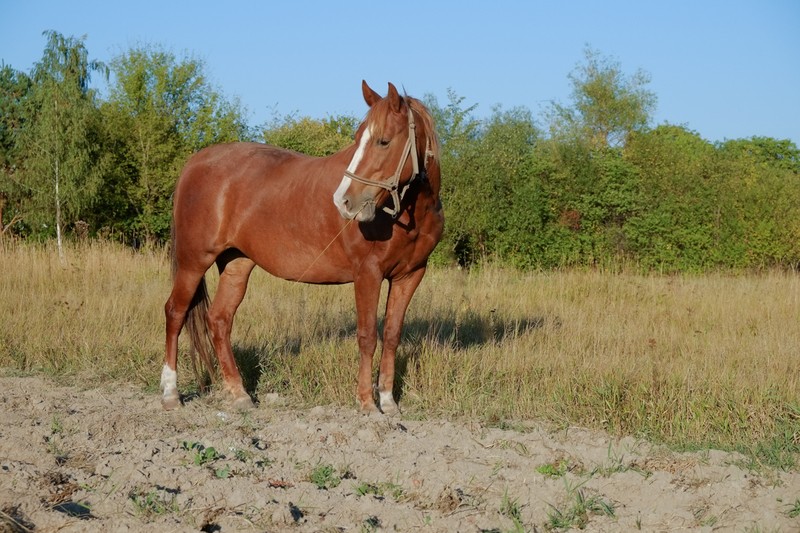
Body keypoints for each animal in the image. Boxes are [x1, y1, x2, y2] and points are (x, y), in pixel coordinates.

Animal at [162, 81, 444, 414]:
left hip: (237, 263)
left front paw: (388, 402)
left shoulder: (409, 275)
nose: (344, 201)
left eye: (383, 141)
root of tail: (194, 163)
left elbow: (391, 335)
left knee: (219, 319)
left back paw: (239, 393)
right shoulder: (368, 275)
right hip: (193, 261)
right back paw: (170, 393)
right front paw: (366, 403)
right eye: (358, 139)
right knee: (175, 312)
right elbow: (367, 337)